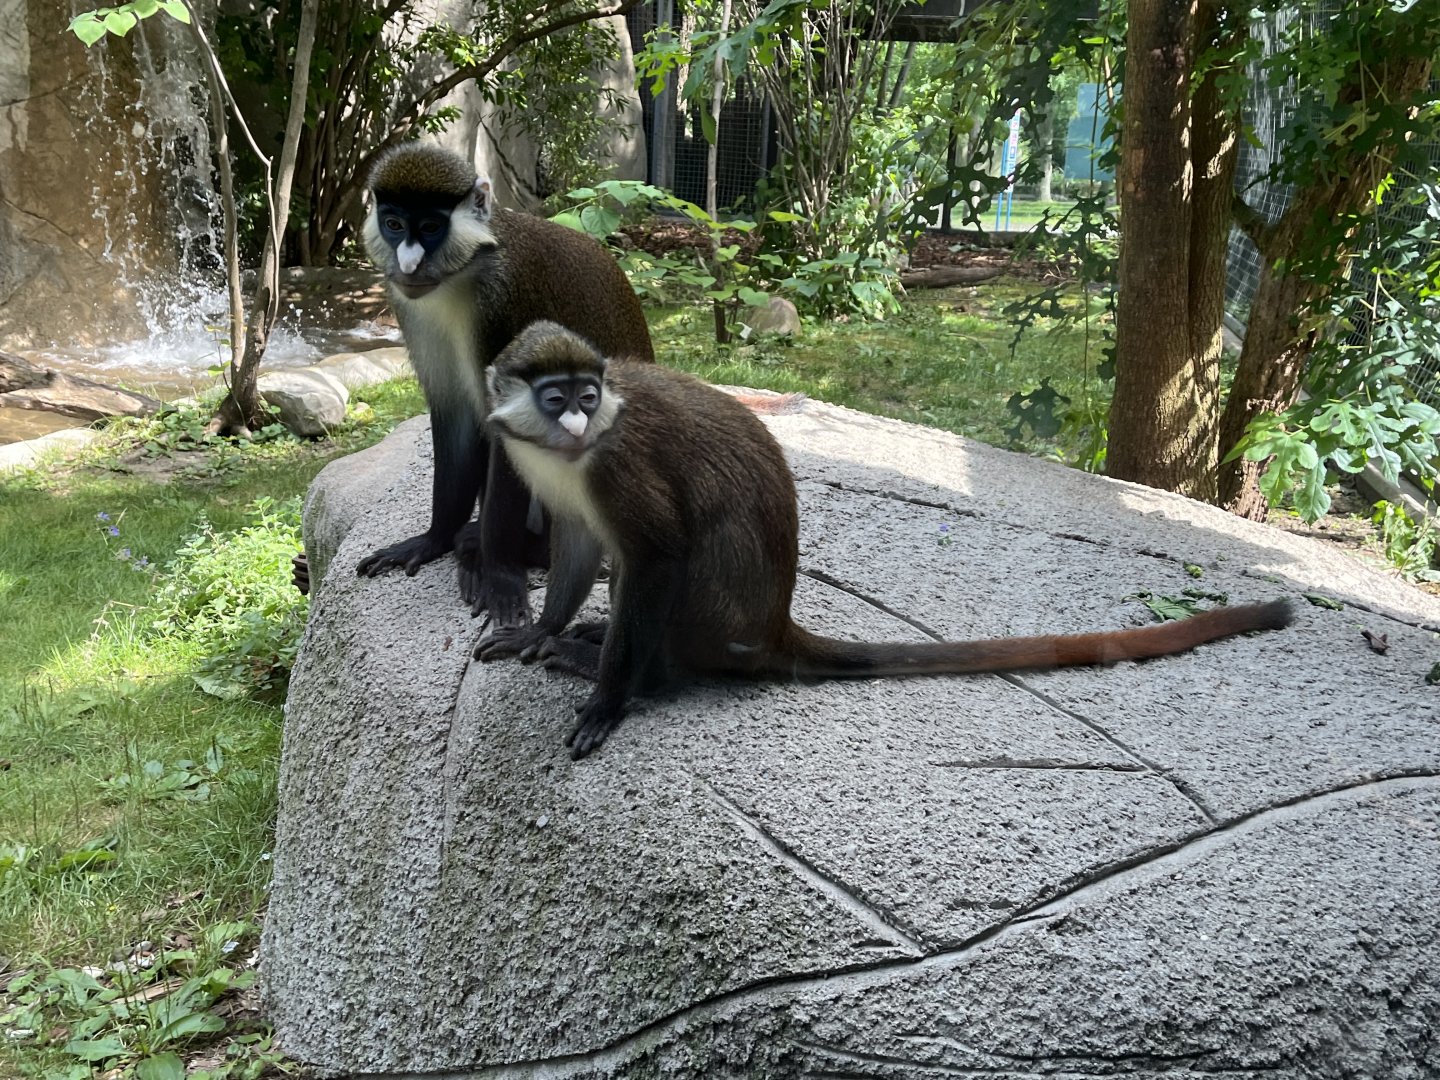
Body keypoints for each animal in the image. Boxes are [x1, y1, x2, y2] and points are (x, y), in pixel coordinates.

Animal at [354, 142, 655, 626]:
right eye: (394, 224)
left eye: (431, 227)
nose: (409, 263)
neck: (463, 273)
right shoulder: (409, 304)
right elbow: (456, 417)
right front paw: (433, 539)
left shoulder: (505, 301)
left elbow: (509, 429)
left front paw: (500, 576)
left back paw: (517, 551)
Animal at [475, 322, 1295, 758]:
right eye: (556, 396)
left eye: (588, 396)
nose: (576, 419)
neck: (575, 453)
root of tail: (773, 627)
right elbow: (578, 544)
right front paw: (540, 630)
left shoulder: (618, 465)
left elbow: (658, 553)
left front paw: (611, 698)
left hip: (711, 617)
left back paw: (631, 672)